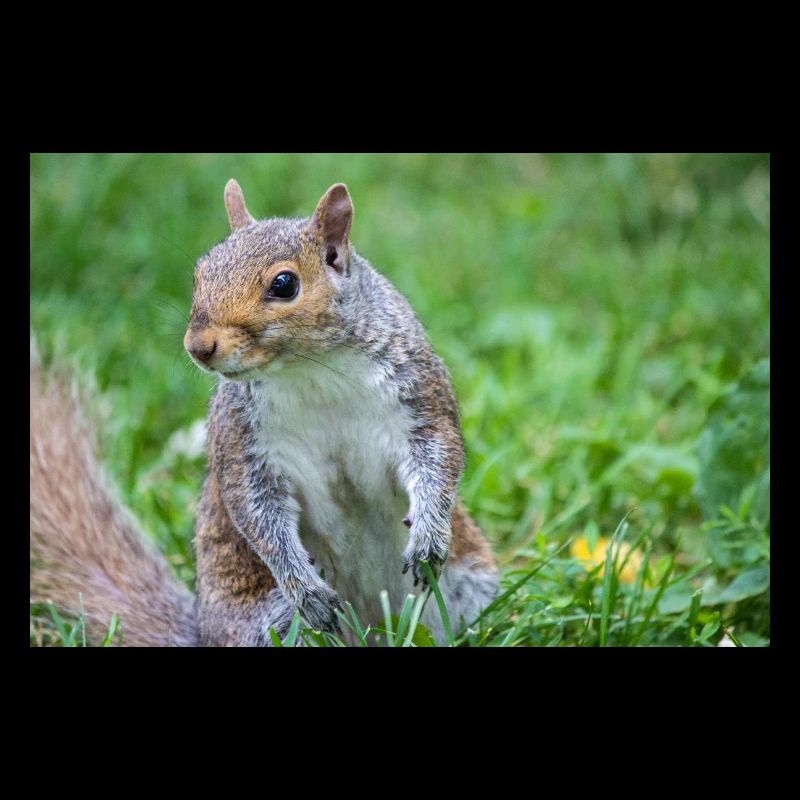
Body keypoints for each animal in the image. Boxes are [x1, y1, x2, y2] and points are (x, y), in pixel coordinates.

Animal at [30, 181, 498, 646]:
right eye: (200, 273)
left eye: (285, 284)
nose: (198, 346)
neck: (310, 369)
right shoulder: (242, 443)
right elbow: (258, 514)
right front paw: (306, 590)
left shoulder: (419, 395)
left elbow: (438, 458)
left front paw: (428, 539)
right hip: (271, 623)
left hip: (470, 583)